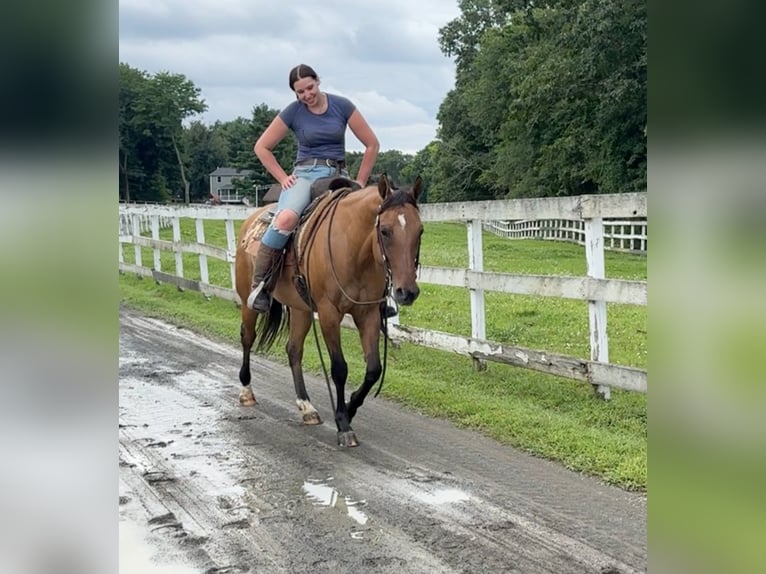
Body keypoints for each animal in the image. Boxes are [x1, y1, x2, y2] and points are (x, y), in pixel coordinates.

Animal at [234, 173, 426, 448]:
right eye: (385, 231)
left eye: (420, 230)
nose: (406, 292)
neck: (355, 250)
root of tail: (253, 219)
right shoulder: (328, 314)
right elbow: (339, 368)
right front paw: (343, 423)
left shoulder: (367, 314)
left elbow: (373, 369)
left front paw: (350, 407)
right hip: (248, 299)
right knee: (248, 338)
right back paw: (246, 391)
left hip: (301, 309)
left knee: (294, 350)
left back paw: (306, 407)